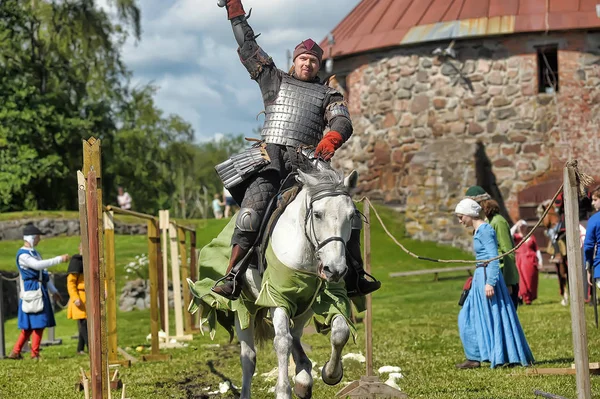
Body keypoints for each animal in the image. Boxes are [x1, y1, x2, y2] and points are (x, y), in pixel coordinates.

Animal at [234, 169, 356, 399]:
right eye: (317, 214)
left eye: (352, 215)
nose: (335, 269)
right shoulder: (277, 298)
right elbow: (282, 341)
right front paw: (283, 390)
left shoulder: (329, 296)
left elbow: (340, 332)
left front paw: (331, 373)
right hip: (244, 306)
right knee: (249, 358)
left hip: (303, 310)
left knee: (297, 338)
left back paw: (303, 378)